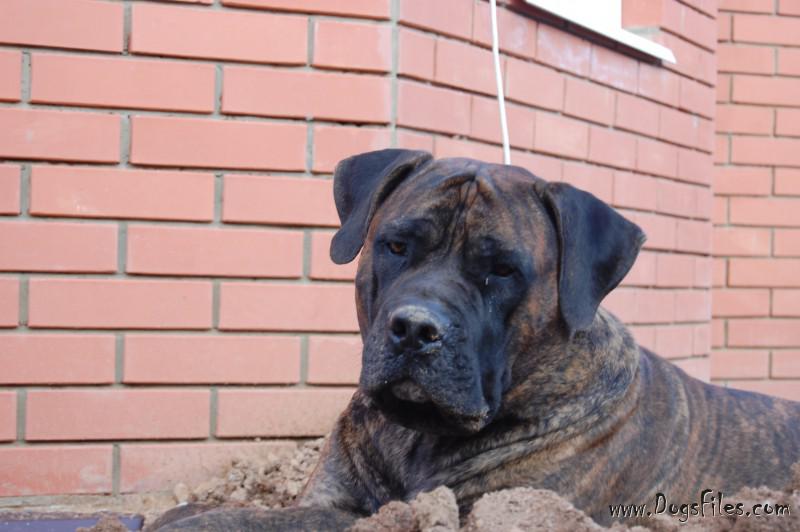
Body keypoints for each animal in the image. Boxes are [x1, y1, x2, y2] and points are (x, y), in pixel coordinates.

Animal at [158, 149, 800, 528]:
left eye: (502, 270)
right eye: (396, 245)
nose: (416, 329)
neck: (415, 437)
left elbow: (308, 523)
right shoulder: (333, 490)